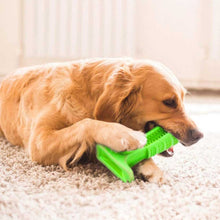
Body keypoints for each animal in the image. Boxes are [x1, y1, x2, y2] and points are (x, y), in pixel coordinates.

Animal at [0, 57, 203, 183]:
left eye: (183, 98)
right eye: (169, 102)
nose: (199, 135)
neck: (89, 96)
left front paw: (150, 167)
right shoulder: (39, 142)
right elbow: (86, 123)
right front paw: (124, 135)